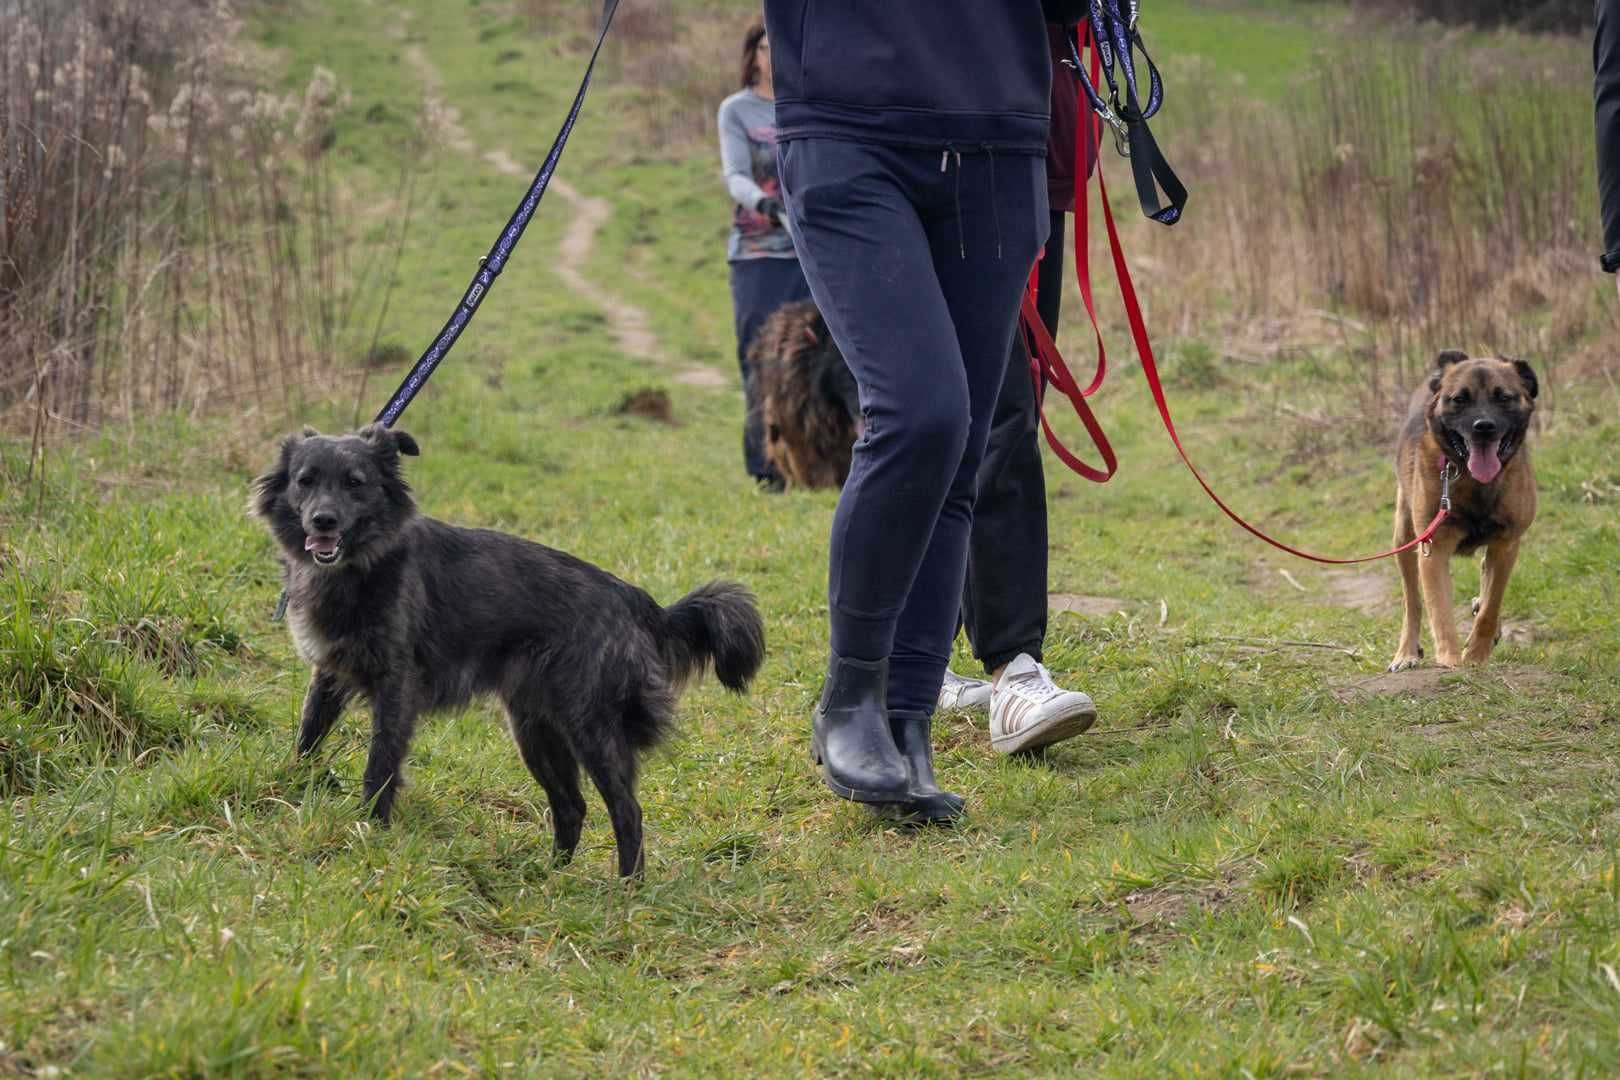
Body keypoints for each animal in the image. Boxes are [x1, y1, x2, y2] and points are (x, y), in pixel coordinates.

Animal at [251, 420, 764, 880]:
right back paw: (551, 877)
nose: (323, 521)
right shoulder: (328, 673)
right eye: (305, 481)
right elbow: (308, 736)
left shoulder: (397, 687)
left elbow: (380, 766)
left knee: (626, 810)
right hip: (535, 730)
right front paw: (293, 786)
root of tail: (636, 600)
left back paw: (627, 889)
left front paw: (370, 831)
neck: (361, 566)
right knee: (571, 806)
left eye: (355, 483)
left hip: (592, 728)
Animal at [1386, 351, 1535, 670]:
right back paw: (1406, 652)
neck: (1473, 480)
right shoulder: (1434, 550)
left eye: (1504, 397)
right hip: (1404, 535)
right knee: (1412, 600)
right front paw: (1452, 661)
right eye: (1459, 399)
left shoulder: (1506, 543)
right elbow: (1440, 612)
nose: (1484, 426)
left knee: (1486, 575)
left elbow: (1492, 605)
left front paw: (1476, 654)